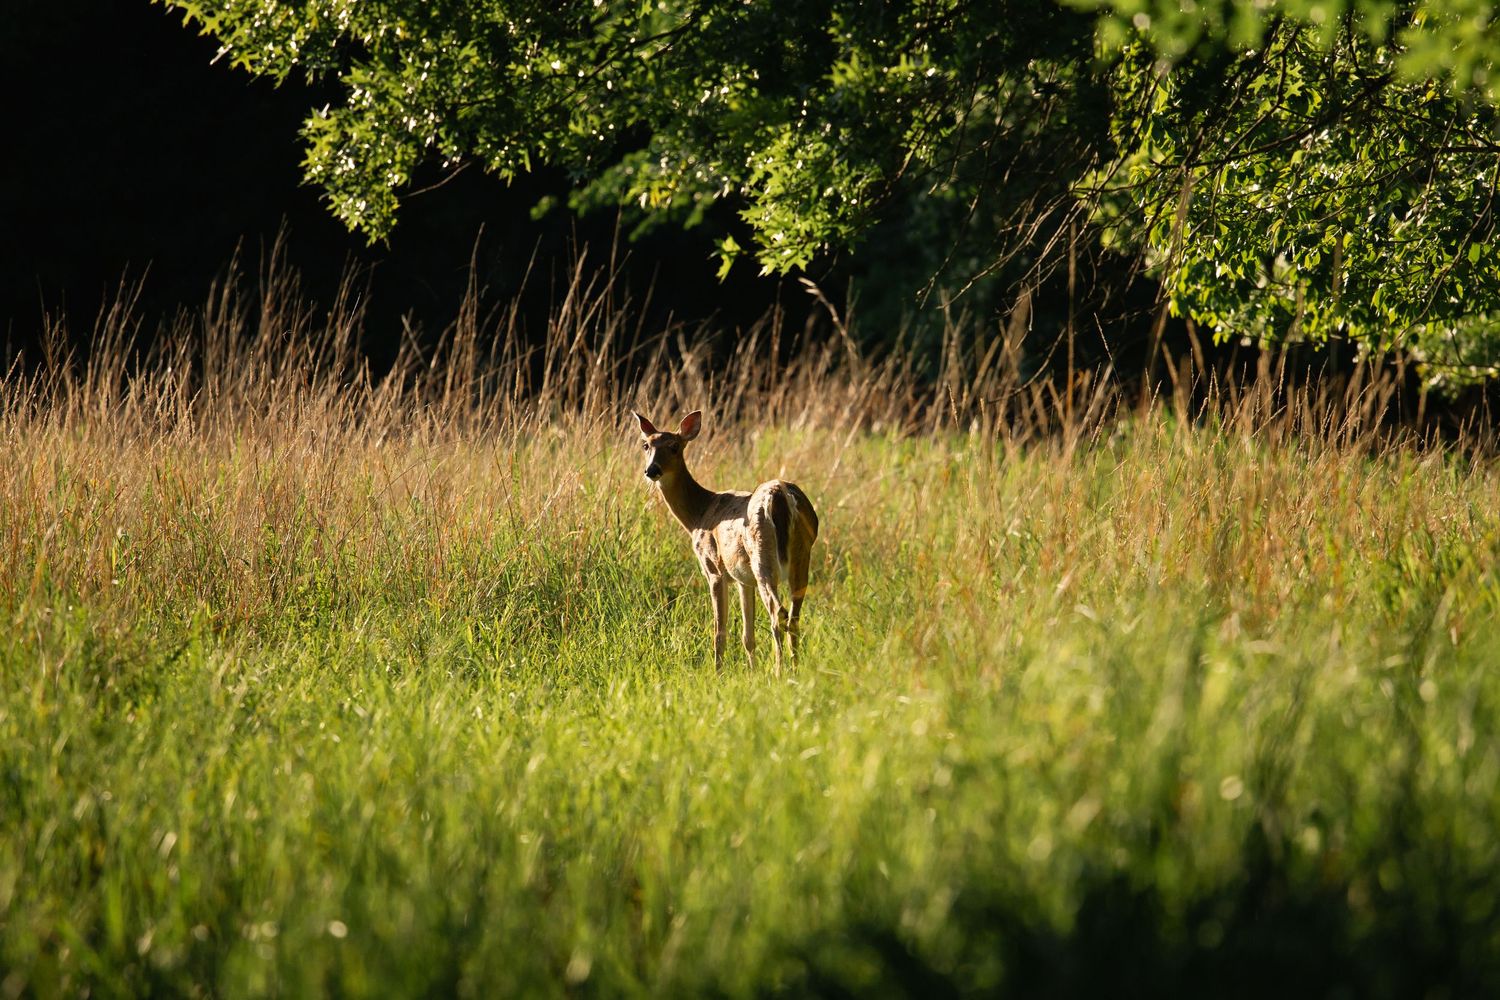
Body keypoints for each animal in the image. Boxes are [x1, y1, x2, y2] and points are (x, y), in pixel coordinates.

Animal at [633, 410, 819, 674]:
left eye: (674, 446)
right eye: (646, 445)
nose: (652, 470)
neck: (698, 515)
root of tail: (779, 496)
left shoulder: (714, 569)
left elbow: (719, 632)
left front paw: (717, 673)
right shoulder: (743, 578)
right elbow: (747, 635)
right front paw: (752, 673)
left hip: (762, 556)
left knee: (778, 613)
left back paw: (778, 671)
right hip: (801, 556)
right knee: (793, 616)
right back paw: (794, 670)